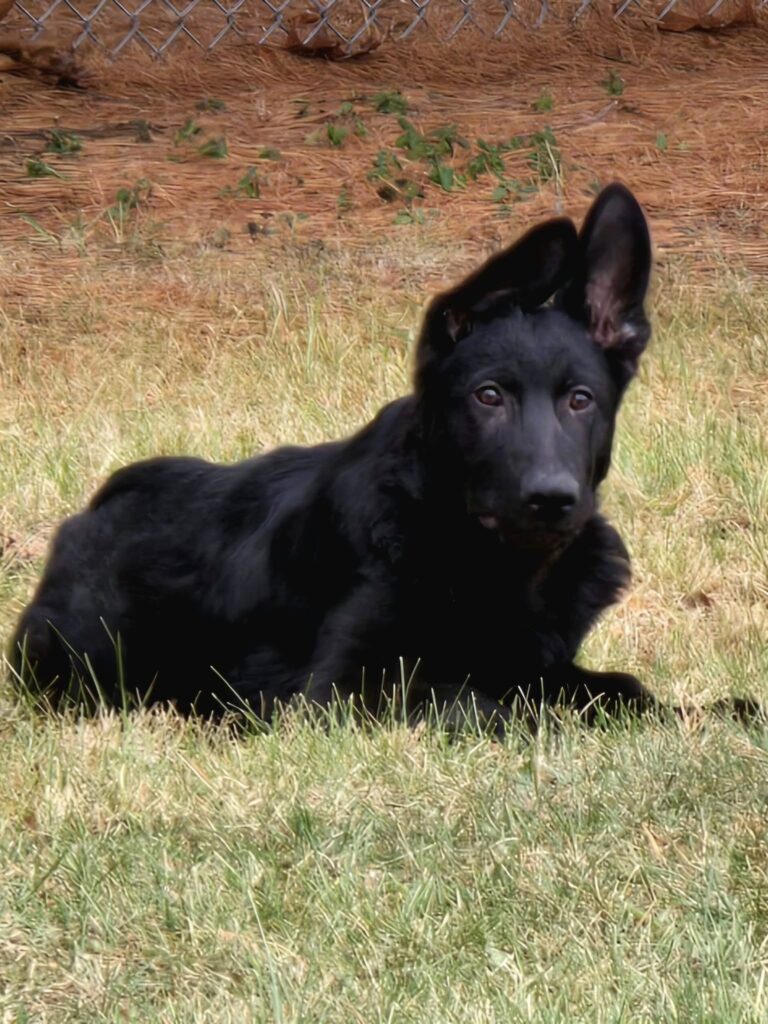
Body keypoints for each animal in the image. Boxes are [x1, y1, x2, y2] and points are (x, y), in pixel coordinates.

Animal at [7, 182, 753, 729]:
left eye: (580, 400)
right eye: (488, 397)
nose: (553, 499)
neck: (492, 562)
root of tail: (87, 514)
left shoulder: (543, 660)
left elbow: (620, 689)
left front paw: (712, 712)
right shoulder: (340, 690)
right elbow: (492, 704)